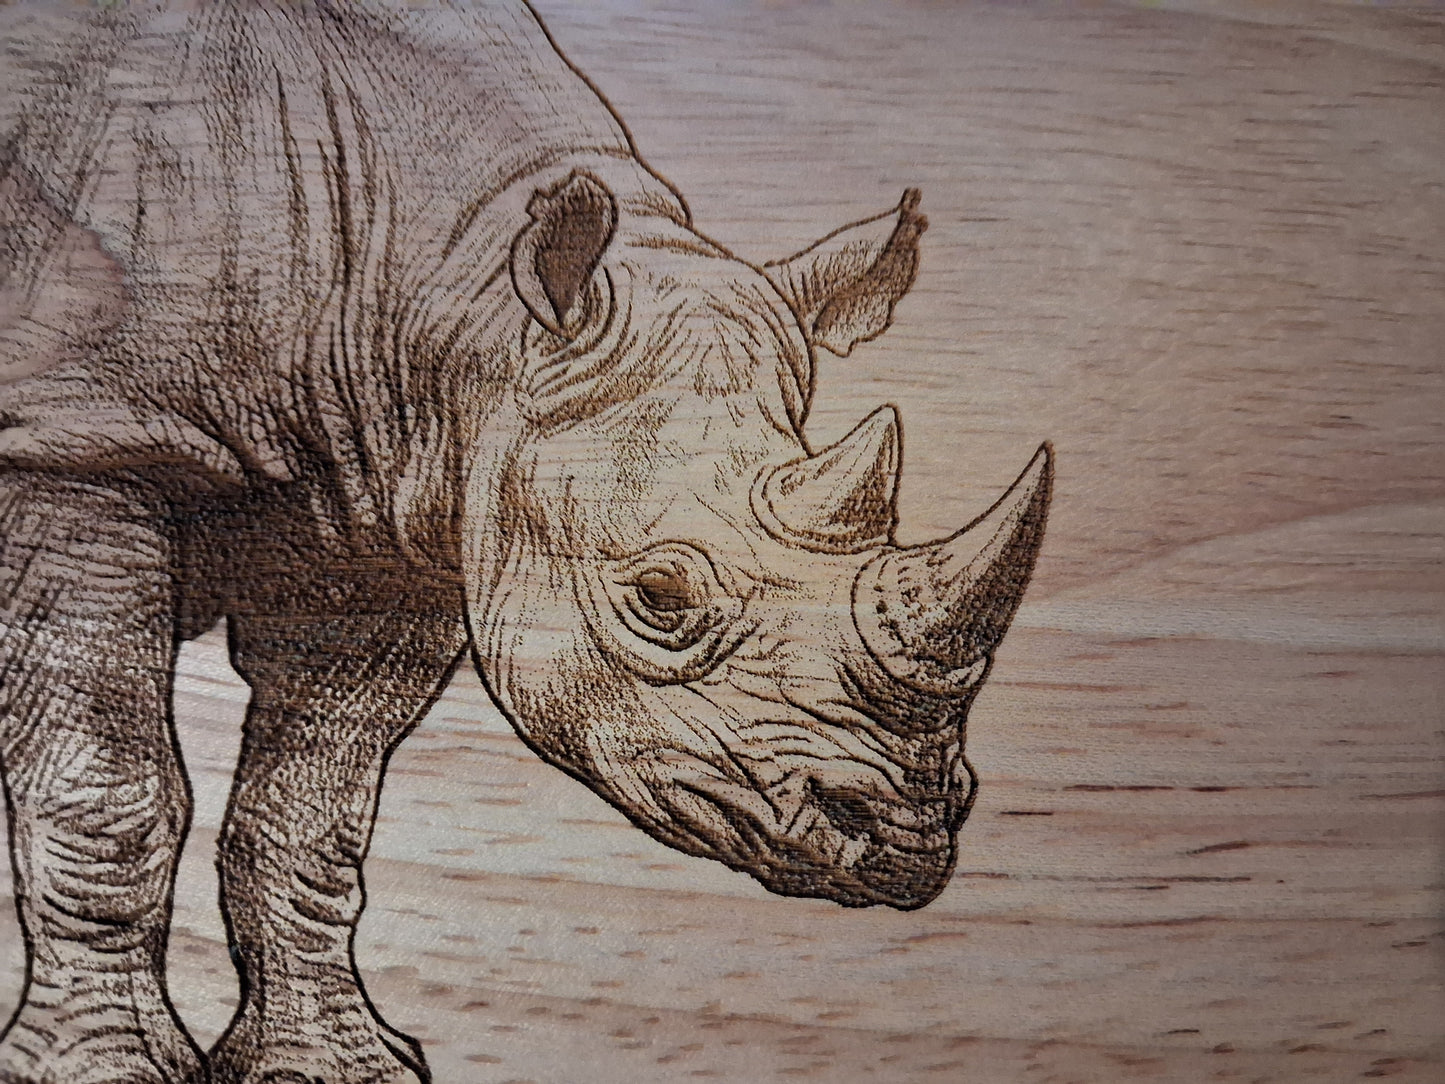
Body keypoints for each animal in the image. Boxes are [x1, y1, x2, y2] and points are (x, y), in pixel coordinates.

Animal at [0, 2, 1051, 1081]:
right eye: (659, 599)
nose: (906, 843)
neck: (454, 288)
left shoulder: (393, 509)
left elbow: (310, 815)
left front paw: (337, 1062)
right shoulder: (77, 437)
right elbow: (106, 788)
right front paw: (104, 1069)